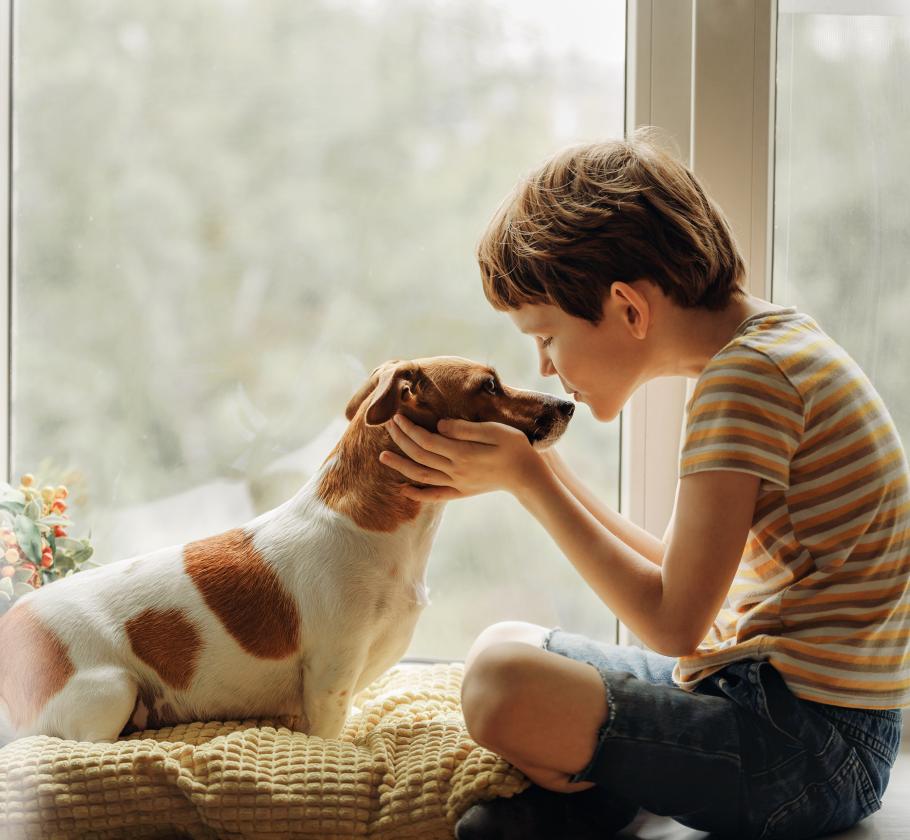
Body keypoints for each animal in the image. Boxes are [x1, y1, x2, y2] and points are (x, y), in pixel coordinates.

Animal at [0, 354, 572, 740]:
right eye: (490, 385)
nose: (568, 402)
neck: (374, 530)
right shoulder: (329, 680)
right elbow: (331, 735)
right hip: (110, 691)